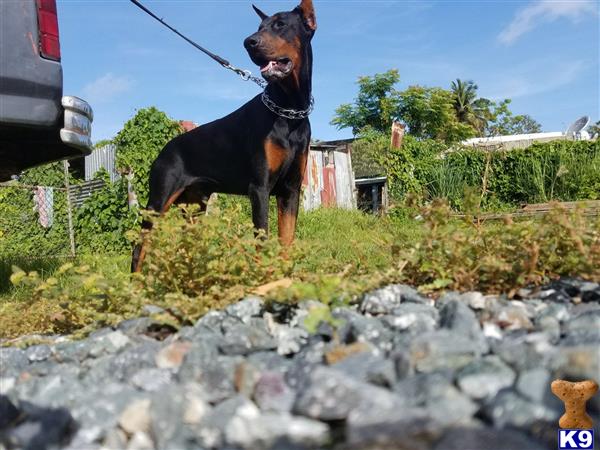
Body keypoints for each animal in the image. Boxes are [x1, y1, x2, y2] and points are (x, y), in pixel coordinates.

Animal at [132, 0, 318, 270]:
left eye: (281, 25)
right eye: (259, 27)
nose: (248, 42)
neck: (289, 112)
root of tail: (165, 149)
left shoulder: (290, 191)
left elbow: (287, 242)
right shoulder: (259, 188)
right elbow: (261, 241)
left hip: (195, 206)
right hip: (159, 200)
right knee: (139, 247)